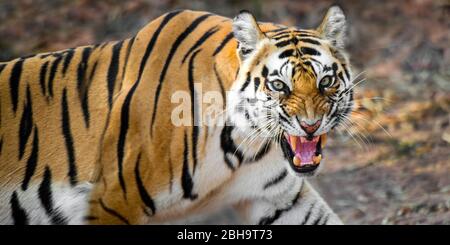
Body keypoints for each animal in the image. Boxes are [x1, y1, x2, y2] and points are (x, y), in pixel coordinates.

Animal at [0, 5, 356, 224]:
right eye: (279, 85)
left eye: (325, 81)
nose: (310, 126)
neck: (245, 144)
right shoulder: (112, 201)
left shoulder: (281, 201)